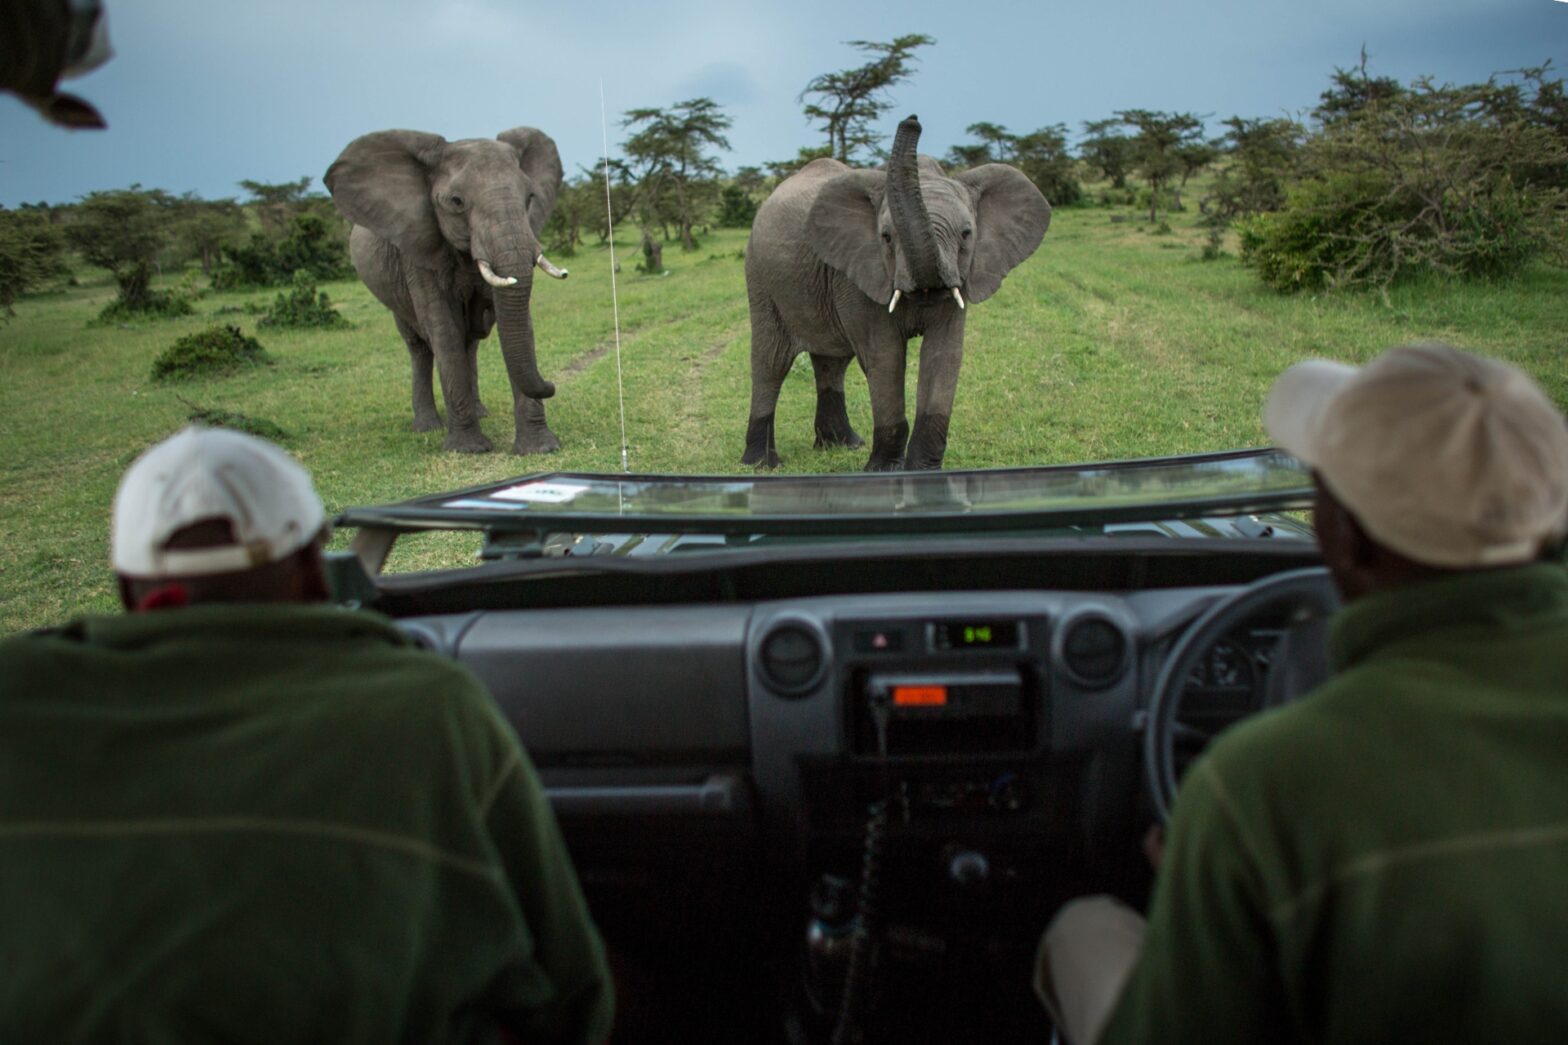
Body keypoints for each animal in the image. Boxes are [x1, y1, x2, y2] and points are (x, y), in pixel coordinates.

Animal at [324, 127, 569, 454]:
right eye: (456, 201)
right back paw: (427, 426)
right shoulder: (418, 253)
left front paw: (539, 448)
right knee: (419, 347)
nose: (551, 385)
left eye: (530, 197)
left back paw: (480, 412)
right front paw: (467, 449)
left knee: (470, 343)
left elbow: (521, 325)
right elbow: (444, 330)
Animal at [741, 115, 1052, 471]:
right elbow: (885, 357)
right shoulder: (859, 276)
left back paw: (843, 445)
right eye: (887, 237)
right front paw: (885, 470)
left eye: (966, 234)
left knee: (832, 361)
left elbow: (944, 355)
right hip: (760, 278)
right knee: (771, 361)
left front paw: (923, 470)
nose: (912, 120)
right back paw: (762, 464)